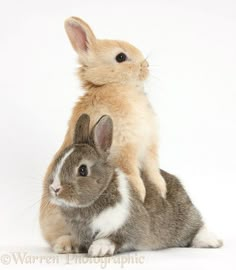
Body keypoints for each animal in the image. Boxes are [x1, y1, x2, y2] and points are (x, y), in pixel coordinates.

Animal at [40, 16, 166, 249]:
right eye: (121, 57)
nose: (146, 66)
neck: (115, 85)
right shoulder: (125, 150)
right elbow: (132, 173)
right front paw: (141, 194)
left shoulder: (149, 149)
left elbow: (154, 172)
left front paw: (162, 191)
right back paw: (67, 245)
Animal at [46, 113, 223, 255]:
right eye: (58, 161)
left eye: (83, 170)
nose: (55, 189)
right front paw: (64, 245)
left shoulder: (131, 225)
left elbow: (116, 237)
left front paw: (99, 249)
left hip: (186, 219)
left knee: (196, 228)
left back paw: (212, 241)